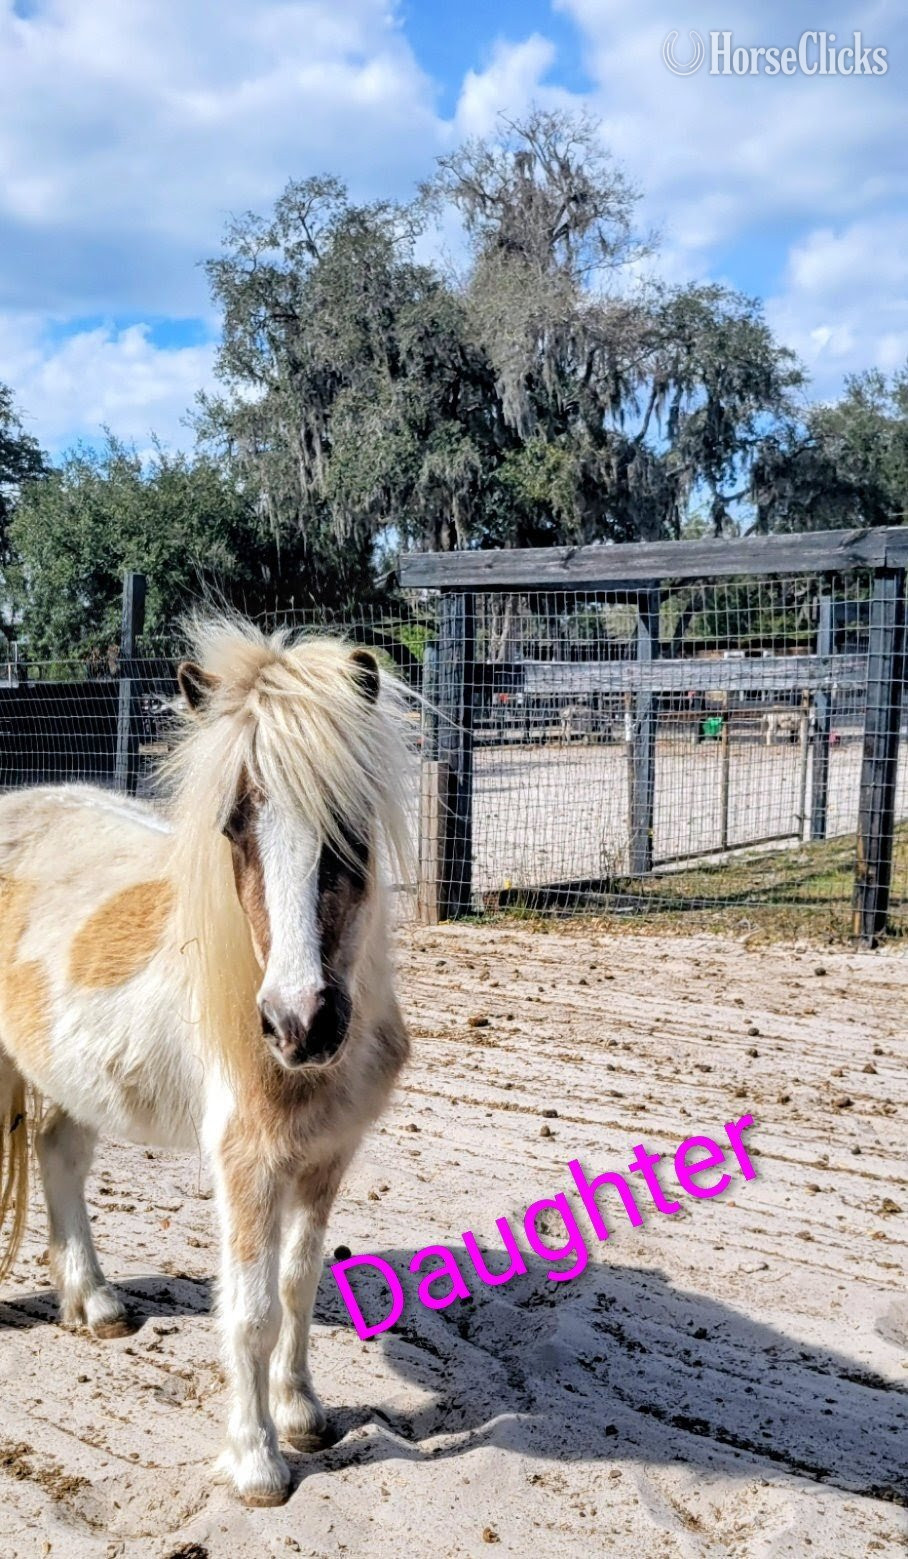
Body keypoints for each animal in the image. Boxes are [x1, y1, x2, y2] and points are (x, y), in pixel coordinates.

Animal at [0, 616, 414, 1507]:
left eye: (350, 825)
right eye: (235, 828)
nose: (299, 1022)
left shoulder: (326, 1157)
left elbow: (298, 1283)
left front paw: (303, 1413)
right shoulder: (246, 1161)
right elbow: (251, 1308)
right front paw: (257, 1459)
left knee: (59, 1158)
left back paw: (96, 1303)